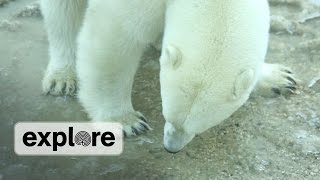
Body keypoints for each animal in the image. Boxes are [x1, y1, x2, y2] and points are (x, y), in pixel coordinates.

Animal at [40, 0, 298, 153]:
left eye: (203, 125)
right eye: (168, 115)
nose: (171, 148)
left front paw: (278, 78)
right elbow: (115, 38)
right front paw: (126, 121)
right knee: (61, 12)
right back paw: (63, 76)